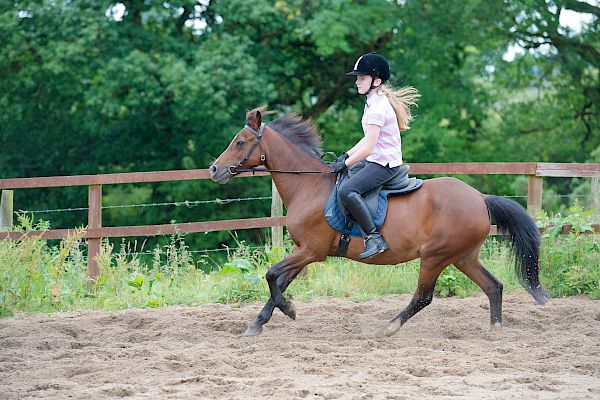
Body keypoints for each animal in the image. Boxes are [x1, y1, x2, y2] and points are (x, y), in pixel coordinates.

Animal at [210, 107, 548, 338]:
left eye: (240, 142)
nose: (214, 170)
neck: (309, 185)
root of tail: (480, 198)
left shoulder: (311, 251)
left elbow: (271, 276)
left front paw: (289, 310)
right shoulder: (303, 251)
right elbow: (278, 282)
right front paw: (257, 324)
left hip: (435, 256)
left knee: (423, 297)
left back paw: (390, 327)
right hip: (463, 257)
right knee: (494, 286)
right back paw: (495, 330)